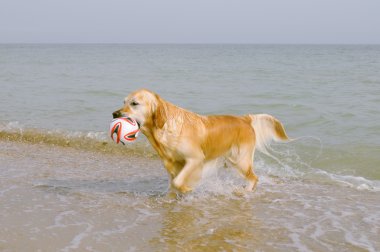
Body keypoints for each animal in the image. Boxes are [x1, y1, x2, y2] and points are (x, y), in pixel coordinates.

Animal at [112, 88, 288, 193]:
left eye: (134, 103)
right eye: (124, 102)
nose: (114, 114)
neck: (164, 128)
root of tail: (245, 119)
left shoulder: (195, 159)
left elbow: (177, 182)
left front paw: (187, 189)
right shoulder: (170, 164)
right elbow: (173, 183)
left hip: (240, 160)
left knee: (254, 177)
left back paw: (246, 191)